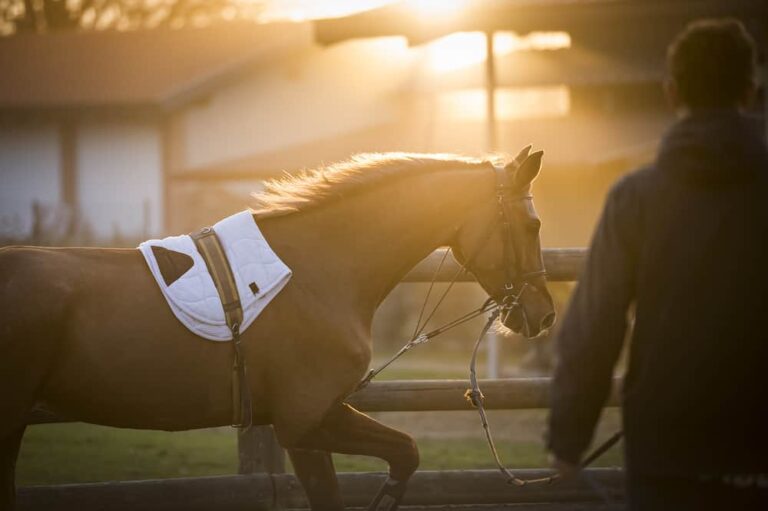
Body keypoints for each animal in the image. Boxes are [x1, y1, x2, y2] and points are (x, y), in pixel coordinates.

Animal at [0, 146, 555, 511]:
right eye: (532, 226)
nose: (544, 314)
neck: (319, 269)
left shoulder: (311, 423)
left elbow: (399, 456)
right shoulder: (305, 423)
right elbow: (403, 454)